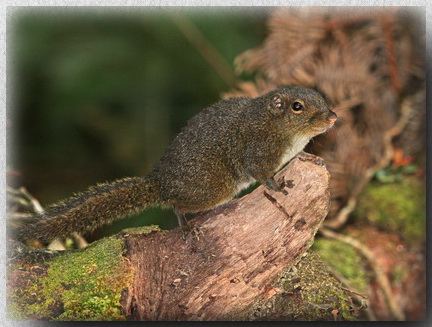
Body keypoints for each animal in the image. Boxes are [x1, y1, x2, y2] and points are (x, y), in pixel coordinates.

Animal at [14, 86, 338, 245]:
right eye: (297, 107)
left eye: (322, 99)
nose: (333, 117)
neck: (284, 131)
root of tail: (161, 181)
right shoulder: (258, 151)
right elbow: (262, 174)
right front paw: (279, 185)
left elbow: (297, 158)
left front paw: (310, 158)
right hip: (213, 189)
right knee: (176, 204)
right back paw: (185, 226)